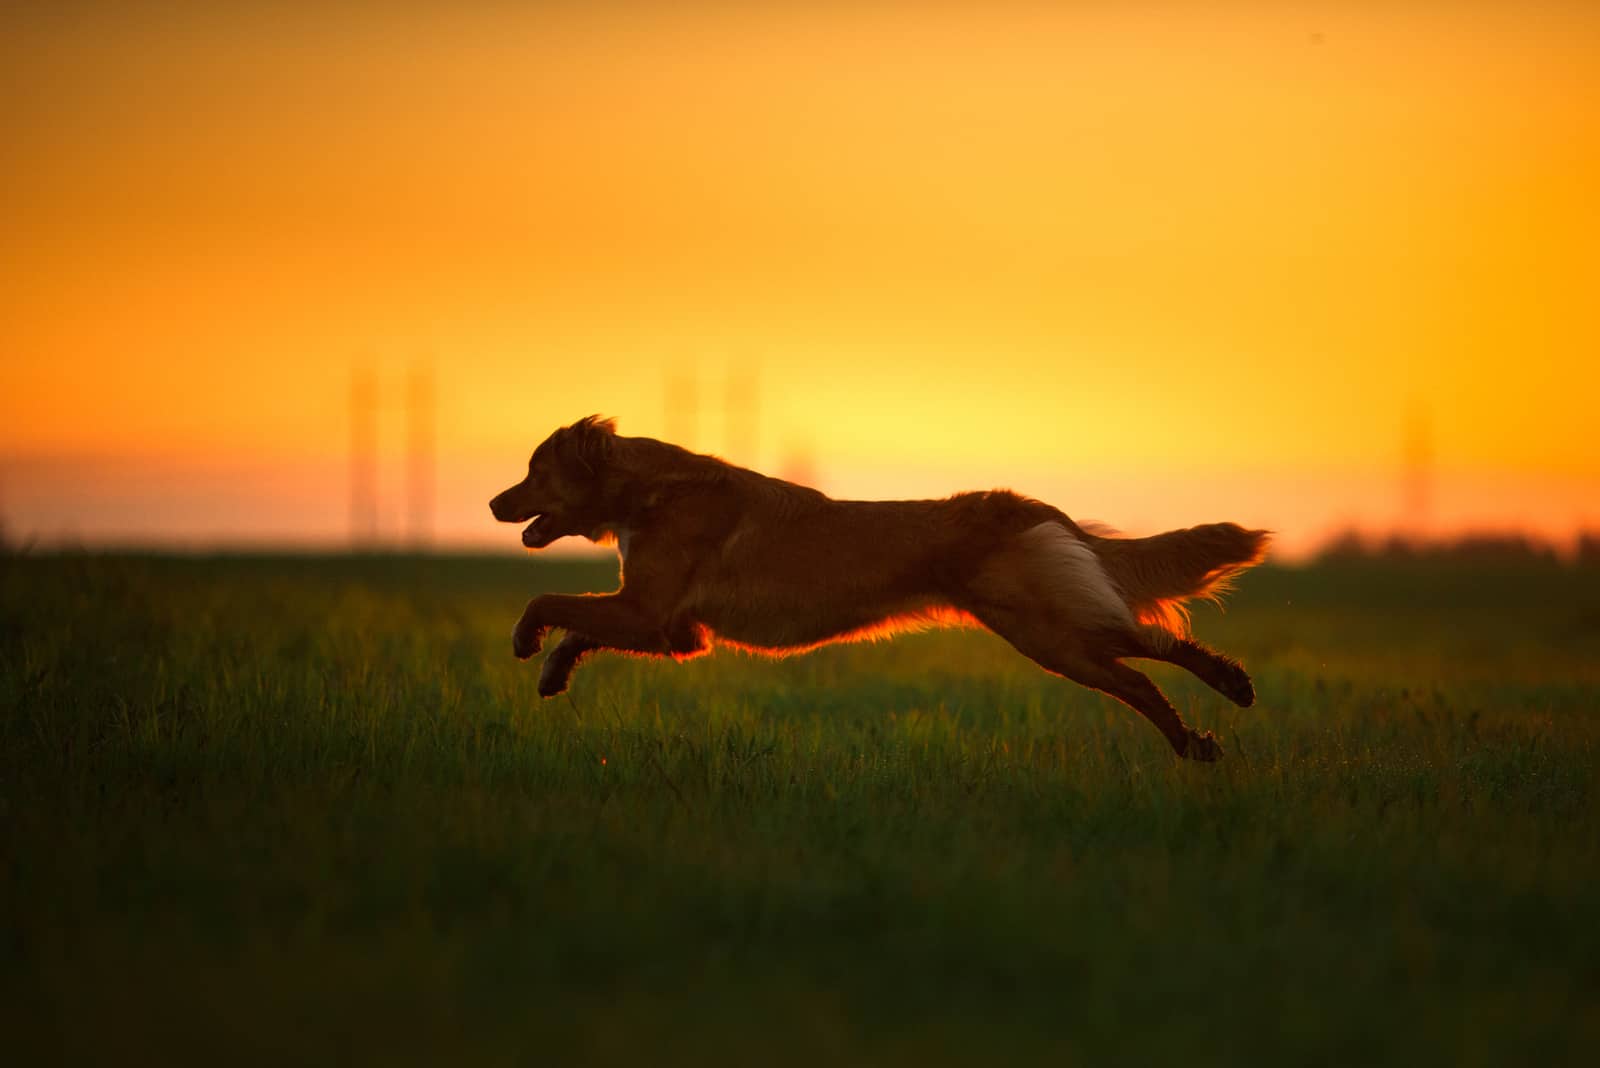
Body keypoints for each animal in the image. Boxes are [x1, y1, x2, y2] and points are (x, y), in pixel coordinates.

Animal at [492, 415, 1267, 757]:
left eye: (533, 471)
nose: (496, 503)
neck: (648, 490)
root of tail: (1027, 506)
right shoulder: (671, 629)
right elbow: (579, 627)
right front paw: (555, 672)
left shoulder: (650, 610)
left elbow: (549, 603)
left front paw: (528, 642)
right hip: (1049, 632)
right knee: (1141, 666)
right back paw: (1199, 736)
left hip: (1047, 628)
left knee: (1150, 652)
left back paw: (1224, 694)